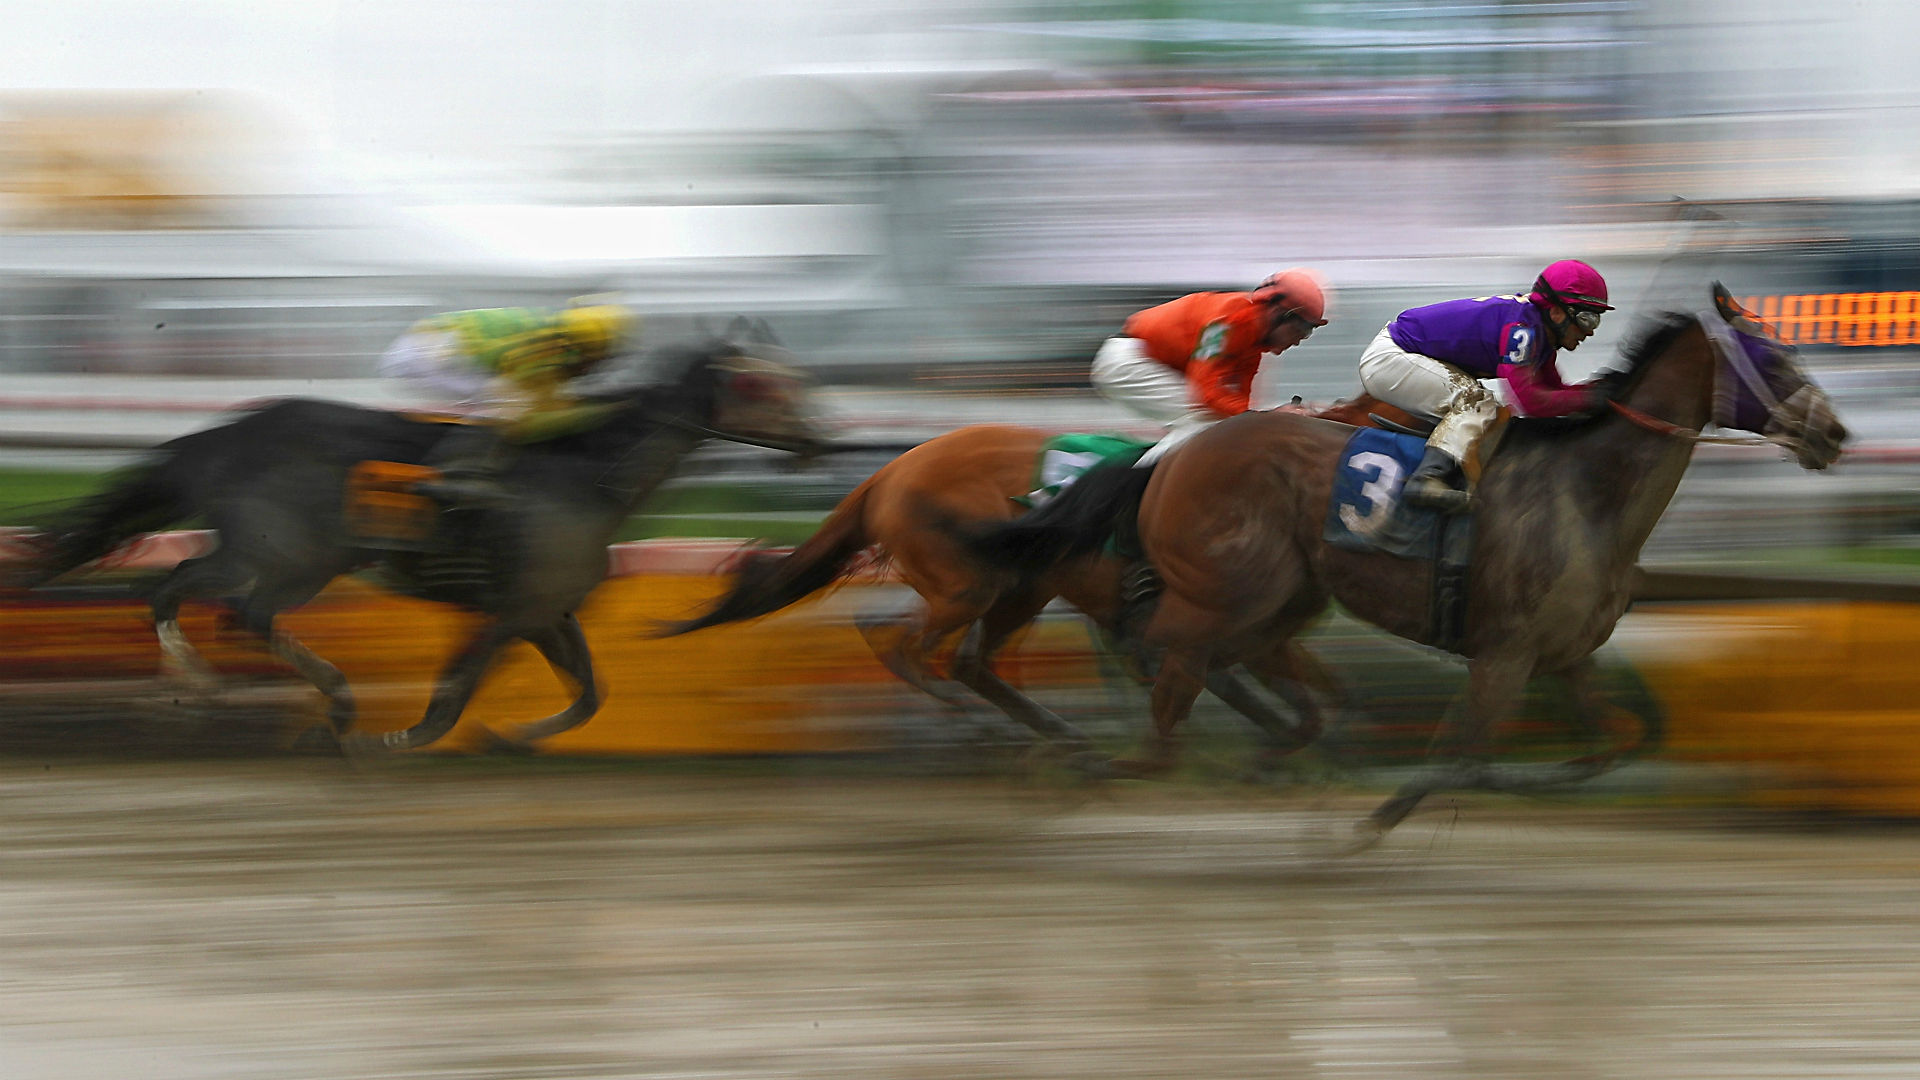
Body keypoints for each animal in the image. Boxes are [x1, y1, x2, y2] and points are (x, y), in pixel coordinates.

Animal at [20, 336, 820, 754]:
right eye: (761, 386)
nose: (819, 441)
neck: (587, 476)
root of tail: (219, 436)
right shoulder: (510, 611)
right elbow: (454, 692)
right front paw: (401, 738)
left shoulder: (549, 612)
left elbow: (589, 695)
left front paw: (513, 734)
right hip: (284, 554)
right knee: (201, 597)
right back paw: (290, 695)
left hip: (286, 558)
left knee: (204, 597)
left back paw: (244, 687)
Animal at [958, 290, 1848, 840]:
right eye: (1773, 357)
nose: (1834, 433)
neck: (1586, 493)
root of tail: (1173, 455)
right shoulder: (1503, 655)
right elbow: (1461, 752)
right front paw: (1368, 826)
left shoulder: (1565, 656)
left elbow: (1613, 743)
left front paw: (1527, 782)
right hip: (1223, 596)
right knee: (1162, 699)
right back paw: (1079, 761)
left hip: (1281, 600)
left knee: (1230, 686)